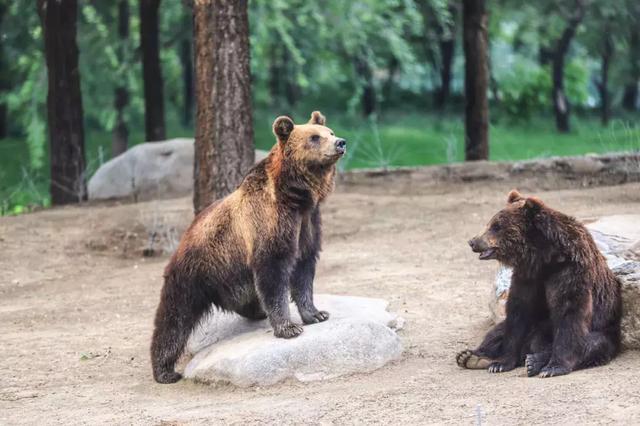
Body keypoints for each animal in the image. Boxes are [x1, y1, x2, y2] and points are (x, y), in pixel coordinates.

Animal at [151, 111, 348, 384]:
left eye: (329, 132)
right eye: (314, 137)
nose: (340, 142)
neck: (296, 196)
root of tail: (186, 233)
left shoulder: (308, 224)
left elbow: (304, 271)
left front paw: (316, 314)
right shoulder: (269, 224)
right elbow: (273, 273)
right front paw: (288, 327)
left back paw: (257, 310)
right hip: (195, 270)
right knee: (174, 317)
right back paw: (165, 370)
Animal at [458, 191, 624, 378]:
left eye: (496, 226)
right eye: (490, 223)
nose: (472, 241)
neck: (543, 258)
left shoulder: (570, 273)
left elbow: (569, 316)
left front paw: (553, 367)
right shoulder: (527, 277)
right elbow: (518, 313)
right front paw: (501, 363)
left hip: (606, 329)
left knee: (593, 344)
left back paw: (534, 361)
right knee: (497, 332)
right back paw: (472, 357)